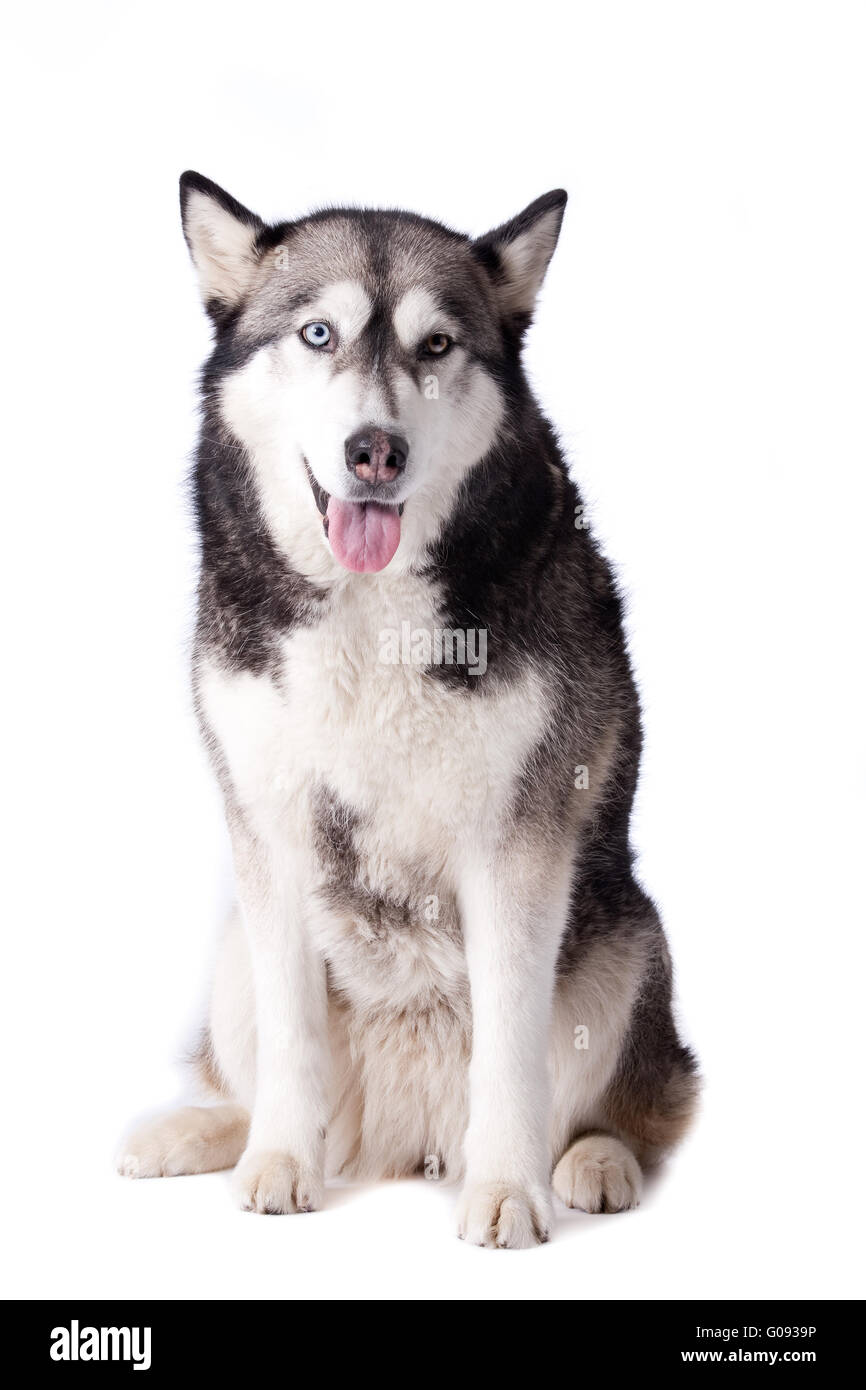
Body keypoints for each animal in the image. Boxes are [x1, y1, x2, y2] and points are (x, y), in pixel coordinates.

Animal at [118, 173, 697, 1251]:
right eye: (317, 333)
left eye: (436, 345)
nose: (374, 452)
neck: (368, 613)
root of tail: (400, 1138)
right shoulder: (270, 834)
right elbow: (292, 1040)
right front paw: (279, 1164)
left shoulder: (517, 845)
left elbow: (510, 1051)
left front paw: (507, 1188)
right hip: (233, 953)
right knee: (262, 1073)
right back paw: (205, 1132)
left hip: (625, 941)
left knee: (633, 1103)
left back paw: (592, 1160)